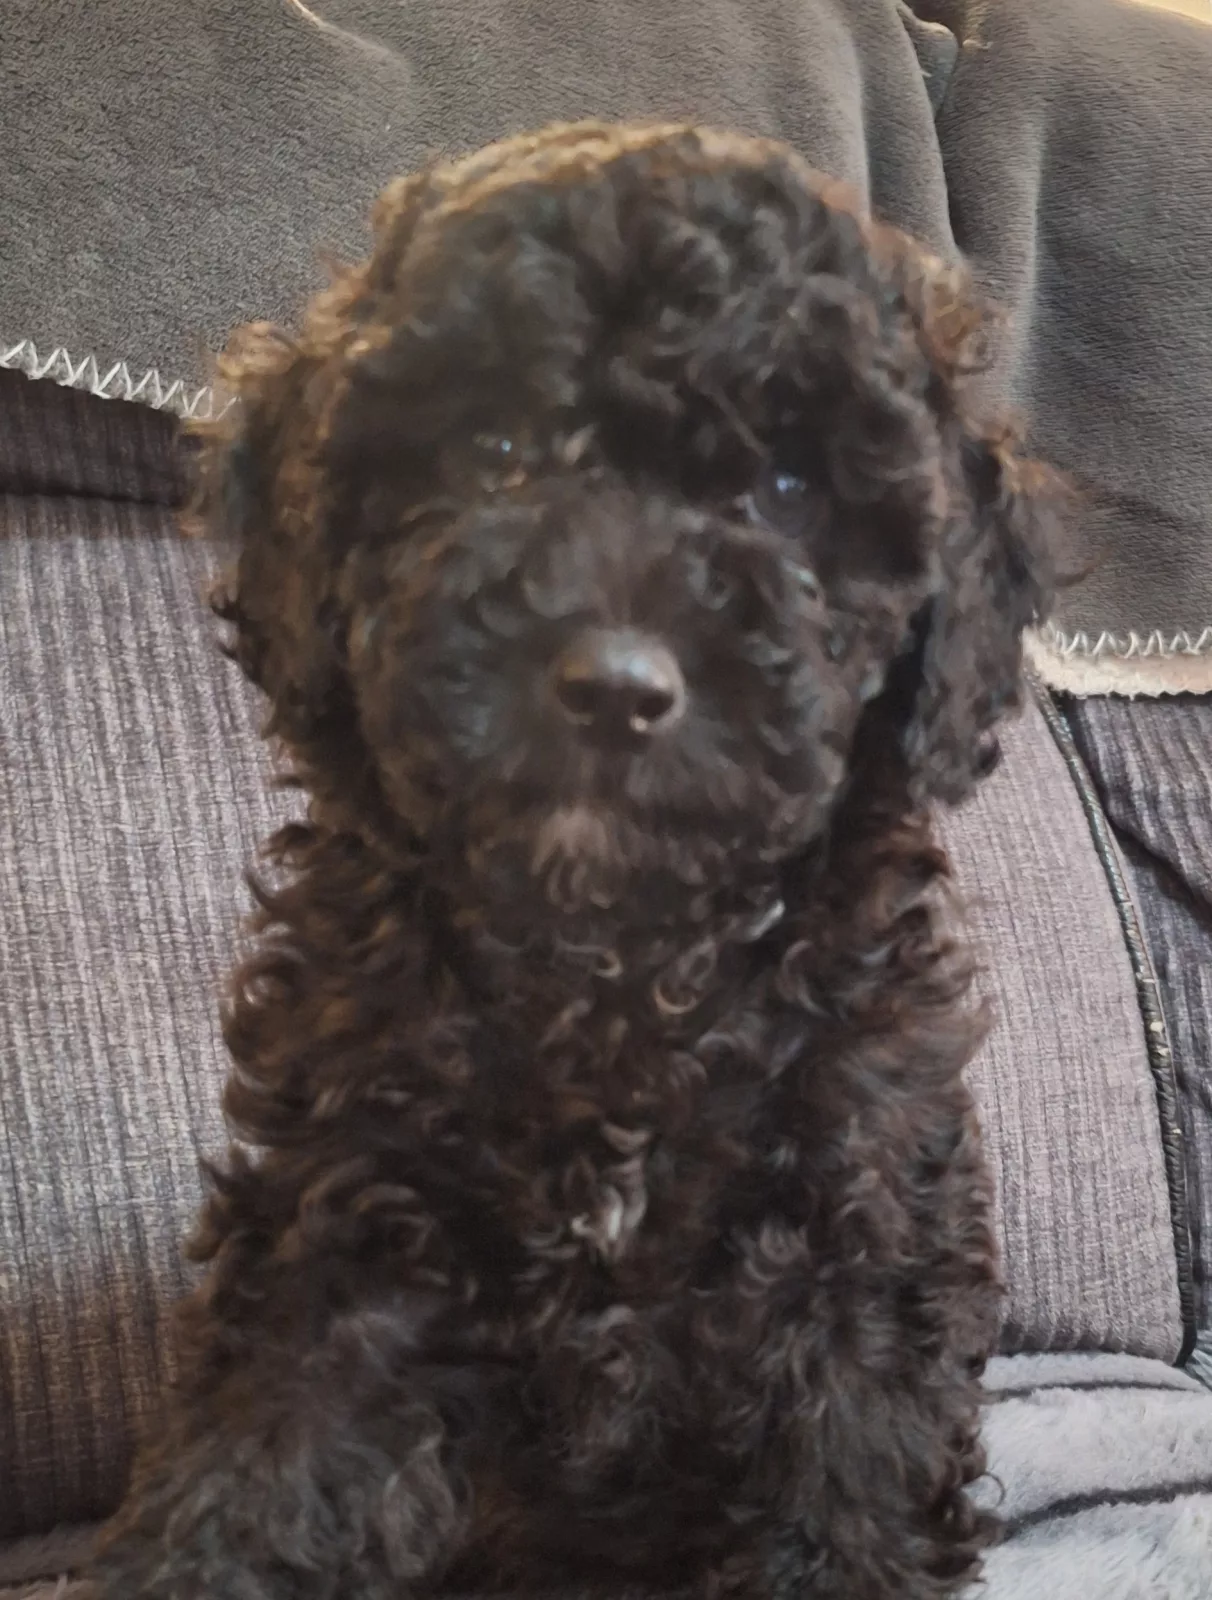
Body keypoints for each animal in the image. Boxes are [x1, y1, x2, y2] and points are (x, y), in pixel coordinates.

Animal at [94, 121, 1059, 1600]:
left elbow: (842, 1492)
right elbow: (268, 1469)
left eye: (790, 490)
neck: (615, 958)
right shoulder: (343, 1229)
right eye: (491, 447)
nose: (616, 686)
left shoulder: (856, 1233)